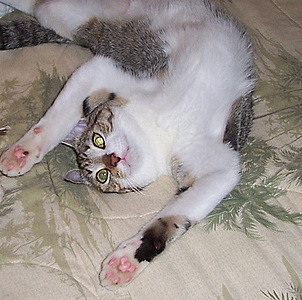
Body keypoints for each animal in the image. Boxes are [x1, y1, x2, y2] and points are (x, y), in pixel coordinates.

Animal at [0, 0, 255, 290]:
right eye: (103, 175)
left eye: (98, 140)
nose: (114, 159)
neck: (159, 129)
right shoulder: (107, 69)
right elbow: (57, 116)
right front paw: (25, 149)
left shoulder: (221, 163)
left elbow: (173, 218)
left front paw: (127, 261)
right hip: (70, 19)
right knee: (37, 6)